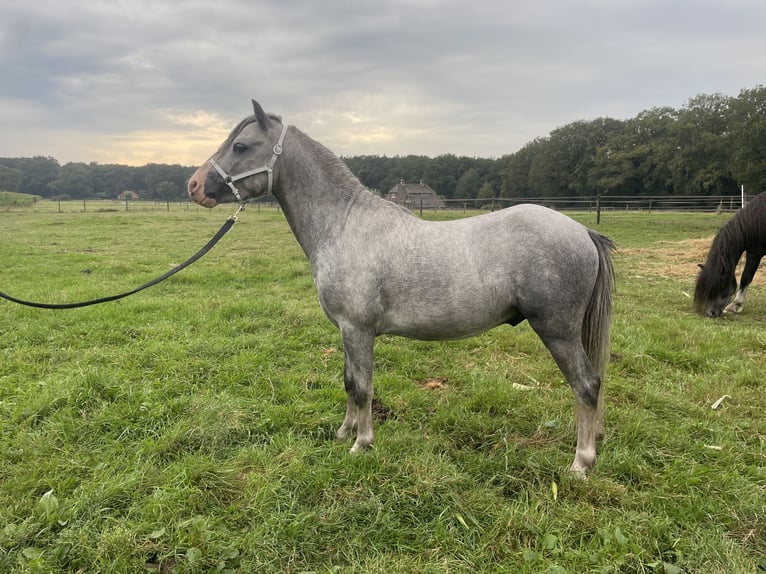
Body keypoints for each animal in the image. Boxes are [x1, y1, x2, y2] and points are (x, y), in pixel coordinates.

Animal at [190, 101, 616, 474]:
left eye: (241, 146)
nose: (193, 185)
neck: (344, 225)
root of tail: (583, 231)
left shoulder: (357, 329)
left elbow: (363, 387)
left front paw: (362, 444)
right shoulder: (346, 331)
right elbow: (349, 381)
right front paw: (343, 432)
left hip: (557, 331)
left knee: (586, 385)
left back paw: (581, 463)